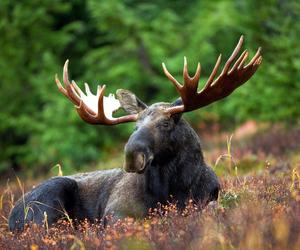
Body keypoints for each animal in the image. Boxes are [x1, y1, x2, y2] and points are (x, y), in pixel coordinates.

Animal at [8, 36, 262, 231]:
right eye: (135, 127)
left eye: (166, 123)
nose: (132, 156)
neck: (174, 189)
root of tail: (11, 218)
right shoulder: (115, 212)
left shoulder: (209, 198)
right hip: (49, 200)